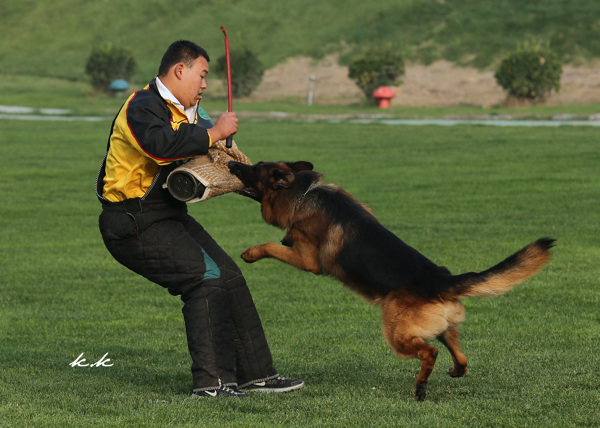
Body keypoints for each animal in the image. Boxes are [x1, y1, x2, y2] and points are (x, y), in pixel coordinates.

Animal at [229, 160, 552, 402]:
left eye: (254, 168)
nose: (232, 162)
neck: (303, 192)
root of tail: (441, 279)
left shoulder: (308, 260)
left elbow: (272, 246)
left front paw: (251, 252)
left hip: (396, 332)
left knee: (430, 352)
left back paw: (420, 388)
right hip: (442, 328)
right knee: (460, 357)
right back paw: (453, 373)